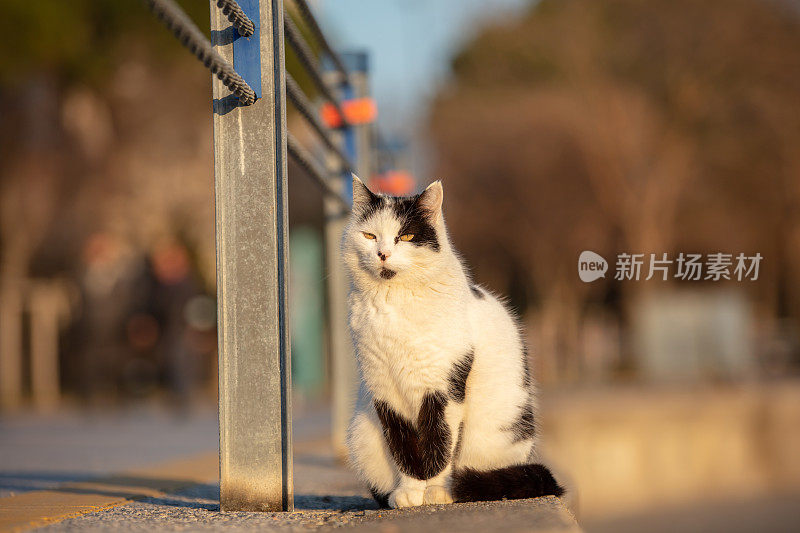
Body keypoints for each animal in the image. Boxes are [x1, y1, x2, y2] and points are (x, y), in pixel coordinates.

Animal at [342, 176, 564, 508]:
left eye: (406, 236)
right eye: (369, 235)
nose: (382, 254)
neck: (394, 303)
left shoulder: (444, 386)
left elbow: (441, 442)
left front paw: (436, 491)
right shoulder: (384, 390)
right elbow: (404, 447)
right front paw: (409, 492)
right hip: (362, 433)